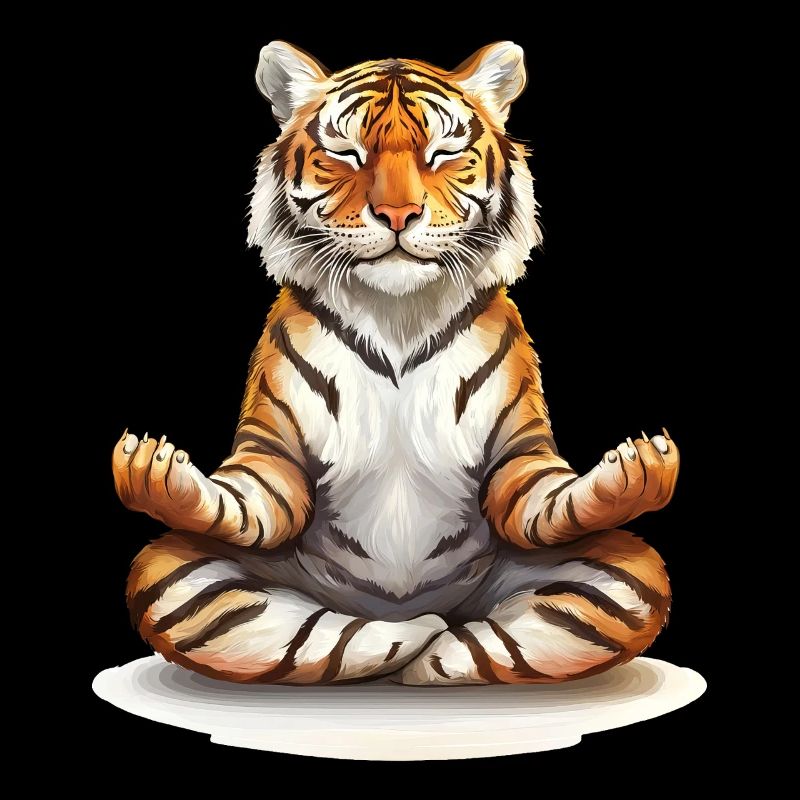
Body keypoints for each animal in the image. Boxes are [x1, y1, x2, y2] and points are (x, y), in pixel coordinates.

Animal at [114, 41, 678, 685]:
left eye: (444, 152)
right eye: (345, 153)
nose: (398, 214)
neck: (397, 313)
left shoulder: (519, 449)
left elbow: (542, 497)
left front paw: (633, 469)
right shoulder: (272, 450)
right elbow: (250, 499)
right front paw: (157, 469)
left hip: (624, 568)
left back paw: (434, 649)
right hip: (175, 568)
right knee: (320, 636)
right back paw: (413, 635)